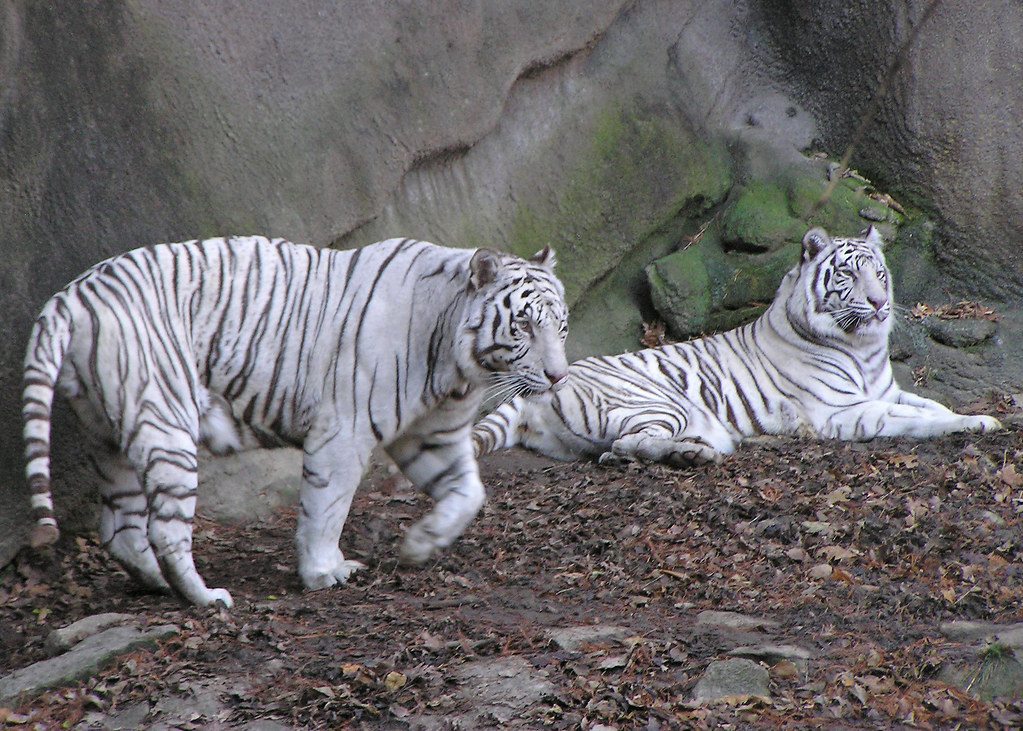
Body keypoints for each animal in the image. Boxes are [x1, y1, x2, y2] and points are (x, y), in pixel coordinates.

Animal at [23, 235, 569, 607]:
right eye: (523, 325)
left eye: (561, 326)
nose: (558, 376)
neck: (458, 367)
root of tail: (72, 296)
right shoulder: (345, 431)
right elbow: (327, 506)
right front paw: (325, 572)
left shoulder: (432, 433)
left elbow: (469, 492)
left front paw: (419, 544)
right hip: (165, 419)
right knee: (164, 529)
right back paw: (206, 597)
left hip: (108, 434)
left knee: (119, 528)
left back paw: (158, 584)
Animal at [472, 226, 1001, 467]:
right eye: (850, 275)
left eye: (880, 272)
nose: (879, 302)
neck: (863, 348)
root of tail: (534, 387)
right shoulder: (841, 411)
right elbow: (914, 418)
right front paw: (975, 423)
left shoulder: (888, 390)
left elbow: (929, 403)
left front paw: (976, 416)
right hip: (661, 404)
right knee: (626, 443)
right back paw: (692, 455)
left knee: (617, 450)